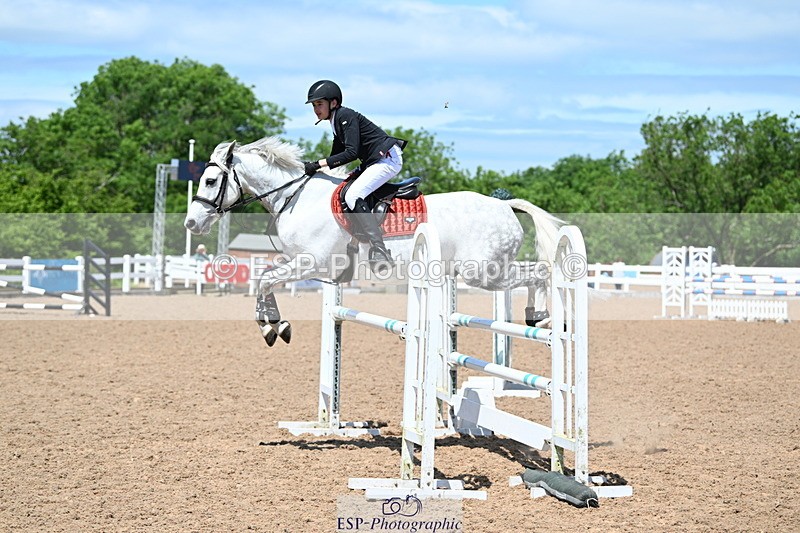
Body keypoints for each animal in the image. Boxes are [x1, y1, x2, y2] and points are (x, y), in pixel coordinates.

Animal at [184, 137, 565, 347]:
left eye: (210, 180)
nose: (192, 223)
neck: (296, 196)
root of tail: (505, 205)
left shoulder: (313, 263)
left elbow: (265, 280)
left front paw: (272, 326)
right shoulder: (303, 265)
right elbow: (264, 277)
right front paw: (272, 324)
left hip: (484, 272)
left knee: (540, 273)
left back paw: (542, 317)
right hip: (485, 270)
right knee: (535, 272)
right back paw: (536, 318)